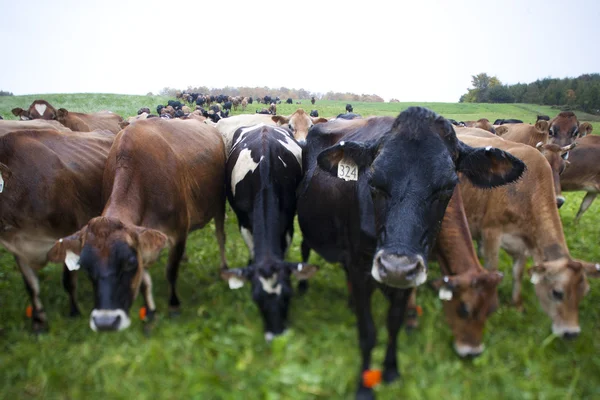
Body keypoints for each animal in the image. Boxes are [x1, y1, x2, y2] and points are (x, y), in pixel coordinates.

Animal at [0, 128, 115, 332]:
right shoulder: (16, 246)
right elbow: (31, 286)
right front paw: (39, 323)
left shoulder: (69, 233)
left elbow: (68, 281)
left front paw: (75, 313)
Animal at [47, 119, 229, 332]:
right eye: (85, 266)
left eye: (129, 262)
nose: (105, 322)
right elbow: (144, 282)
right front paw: (150, 313)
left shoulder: (177, 232)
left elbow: (171, 271)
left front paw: (174, 305)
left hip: (219, 202)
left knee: (221, 236)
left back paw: (224, 268)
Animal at [296, 107, 524, 400]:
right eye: (373, 181)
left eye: (449, 186)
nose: (395, 266)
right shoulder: (361, 268)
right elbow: (367, 331)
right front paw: (364, 385)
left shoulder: (410, 274)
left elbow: (394, 321)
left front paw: (391, 370)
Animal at [458, 134, 596, 338]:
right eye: (557, 293)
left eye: (584, 292)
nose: (571, 333)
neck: (526, 190)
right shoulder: (491, 231)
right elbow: (492, 269)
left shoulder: (524, 242)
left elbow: (518, 273)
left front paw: (517, 305)